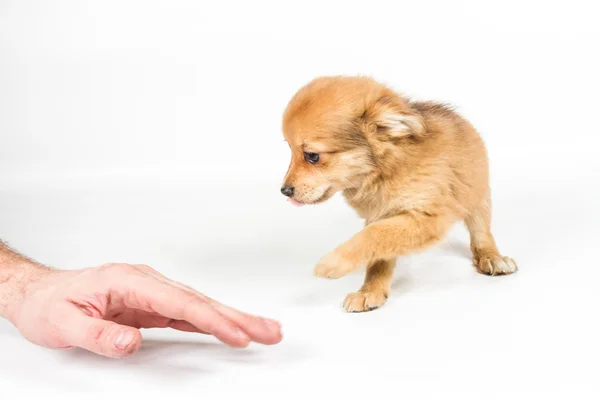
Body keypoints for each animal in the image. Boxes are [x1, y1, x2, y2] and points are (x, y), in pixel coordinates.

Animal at [278, 76, 516, 312]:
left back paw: (492, 257)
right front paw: (370, 291)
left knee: (481, 232)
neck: (384, 173)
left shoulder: (429, 218)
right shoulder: (381, 216)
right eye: (290, 150)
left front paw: (334, 262)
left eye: (312, 156)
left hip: (478, 196)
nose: (284, 191)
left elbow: (372, 235)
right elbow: (379, 252)